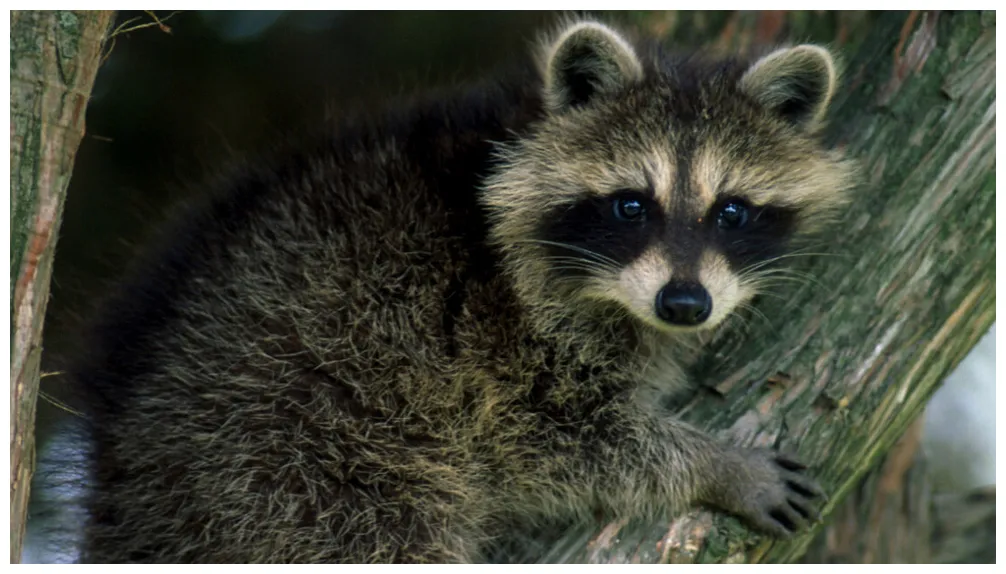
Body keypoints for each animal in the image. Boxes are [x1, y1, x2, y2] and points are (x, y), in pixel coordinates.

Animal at [61, 18, 853, 563]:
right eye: (632, 205)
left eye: (731, 212)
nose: (684, 305)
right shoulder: (499, 338)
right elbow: (560, 442)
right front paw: (713, 465)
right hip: (291, 457)